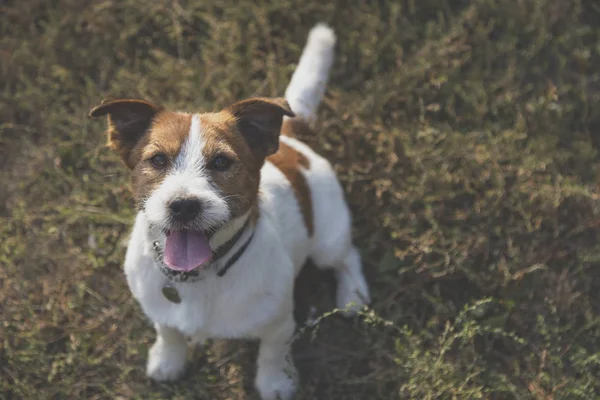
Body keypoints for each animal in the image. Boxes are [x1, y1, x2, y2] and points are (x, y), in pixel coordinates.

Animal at [89, 22, 370, 400]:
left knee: (346, 256)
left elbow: (273, 351)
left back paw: (353, 295)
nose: (183, 206)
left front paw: (276, 382)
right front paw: (167, 360)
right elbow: (168, 331)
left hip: (327, 238)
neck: (197, 277)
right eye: (158, 160)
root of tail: (291, 142)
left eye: (222, 162)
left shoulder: (279, 321)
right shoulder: (159, 309)